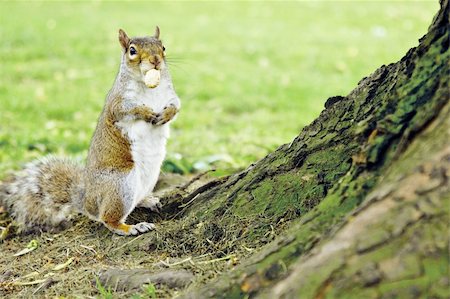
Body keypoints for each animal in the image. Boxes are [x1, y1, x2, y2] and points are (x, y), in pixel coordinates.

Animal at [0, 27, 179, 236]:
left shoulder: (170, 94)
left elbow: (176, 105)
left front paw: (167, 114)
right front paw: (146, 112)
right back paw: (131, 227)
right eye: (132, 51)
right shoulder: (117, 102)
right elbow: (125, 110)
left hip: (147, 179)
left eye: (163, 47)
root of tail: (87, 200)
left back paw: (147, 200)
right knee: (108, 219)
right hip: (120, 185)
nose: (156, 60)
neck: (149, 86)